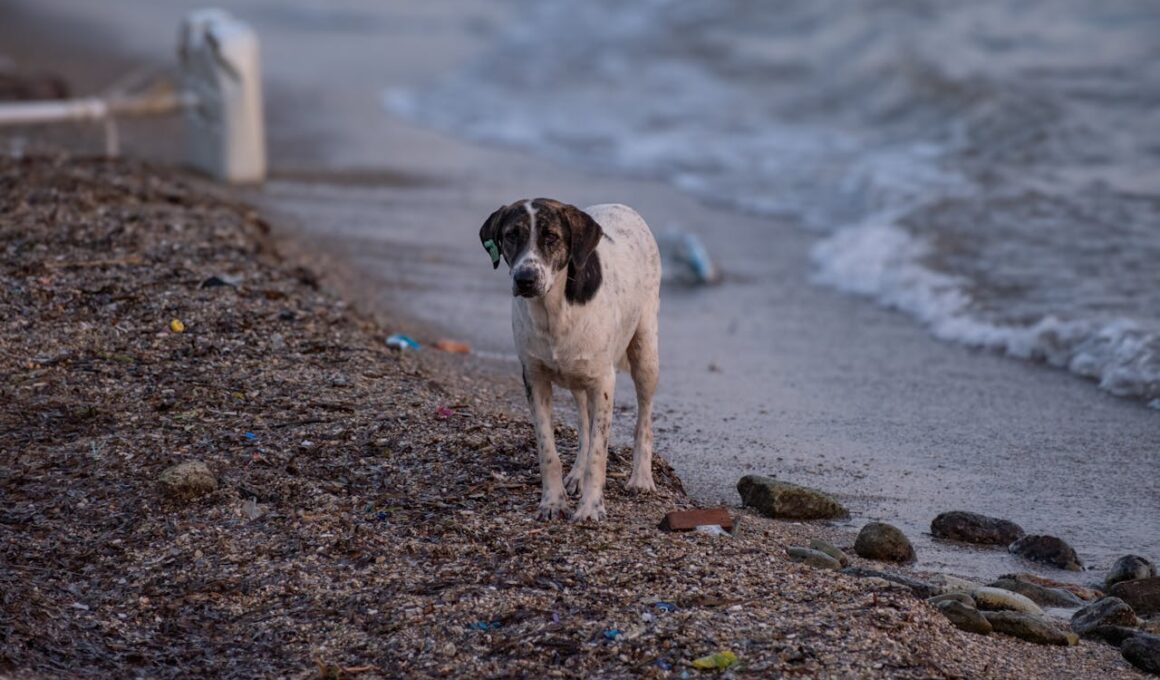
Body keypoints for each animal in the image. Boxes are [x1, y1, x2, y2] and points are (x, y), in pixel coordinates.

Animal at [477, 196, 663, 519]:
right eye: (511, 235)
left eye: (551, 237)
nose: (525, 279)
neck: (553, 310)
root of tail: (621, 205)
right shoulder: (534, 377)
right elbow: (548, 450)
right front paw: (553, 502)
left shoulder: (603, 382)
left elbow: (598, 455)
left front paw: (590, 508)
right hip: (578, 380)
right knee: (584, 426)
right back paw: (576, 474)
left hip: (645, 352)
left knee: (644, 418)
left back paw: (640, 477)